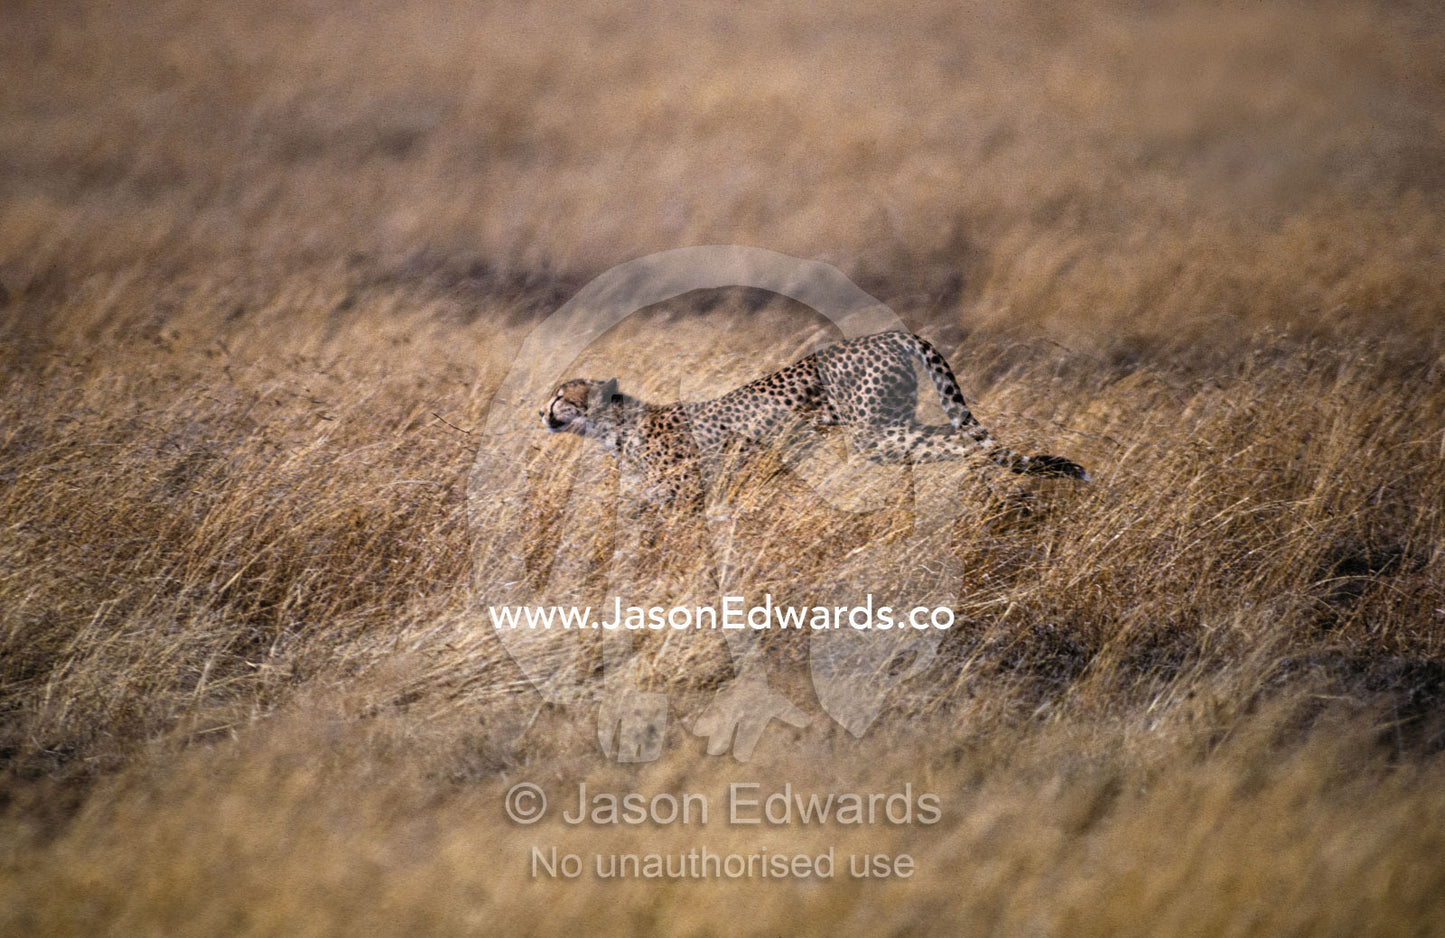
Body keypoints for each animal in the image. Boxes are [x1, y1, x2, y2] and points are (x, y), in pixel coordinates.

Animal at [540, 330, 1088, 506]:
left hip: (874, 432)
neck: (615, 428)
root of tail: (890, 333)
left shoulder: (686, 493)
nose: (539, 411)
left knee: (964, 442)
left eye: (559, 396)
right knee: (954, 437)